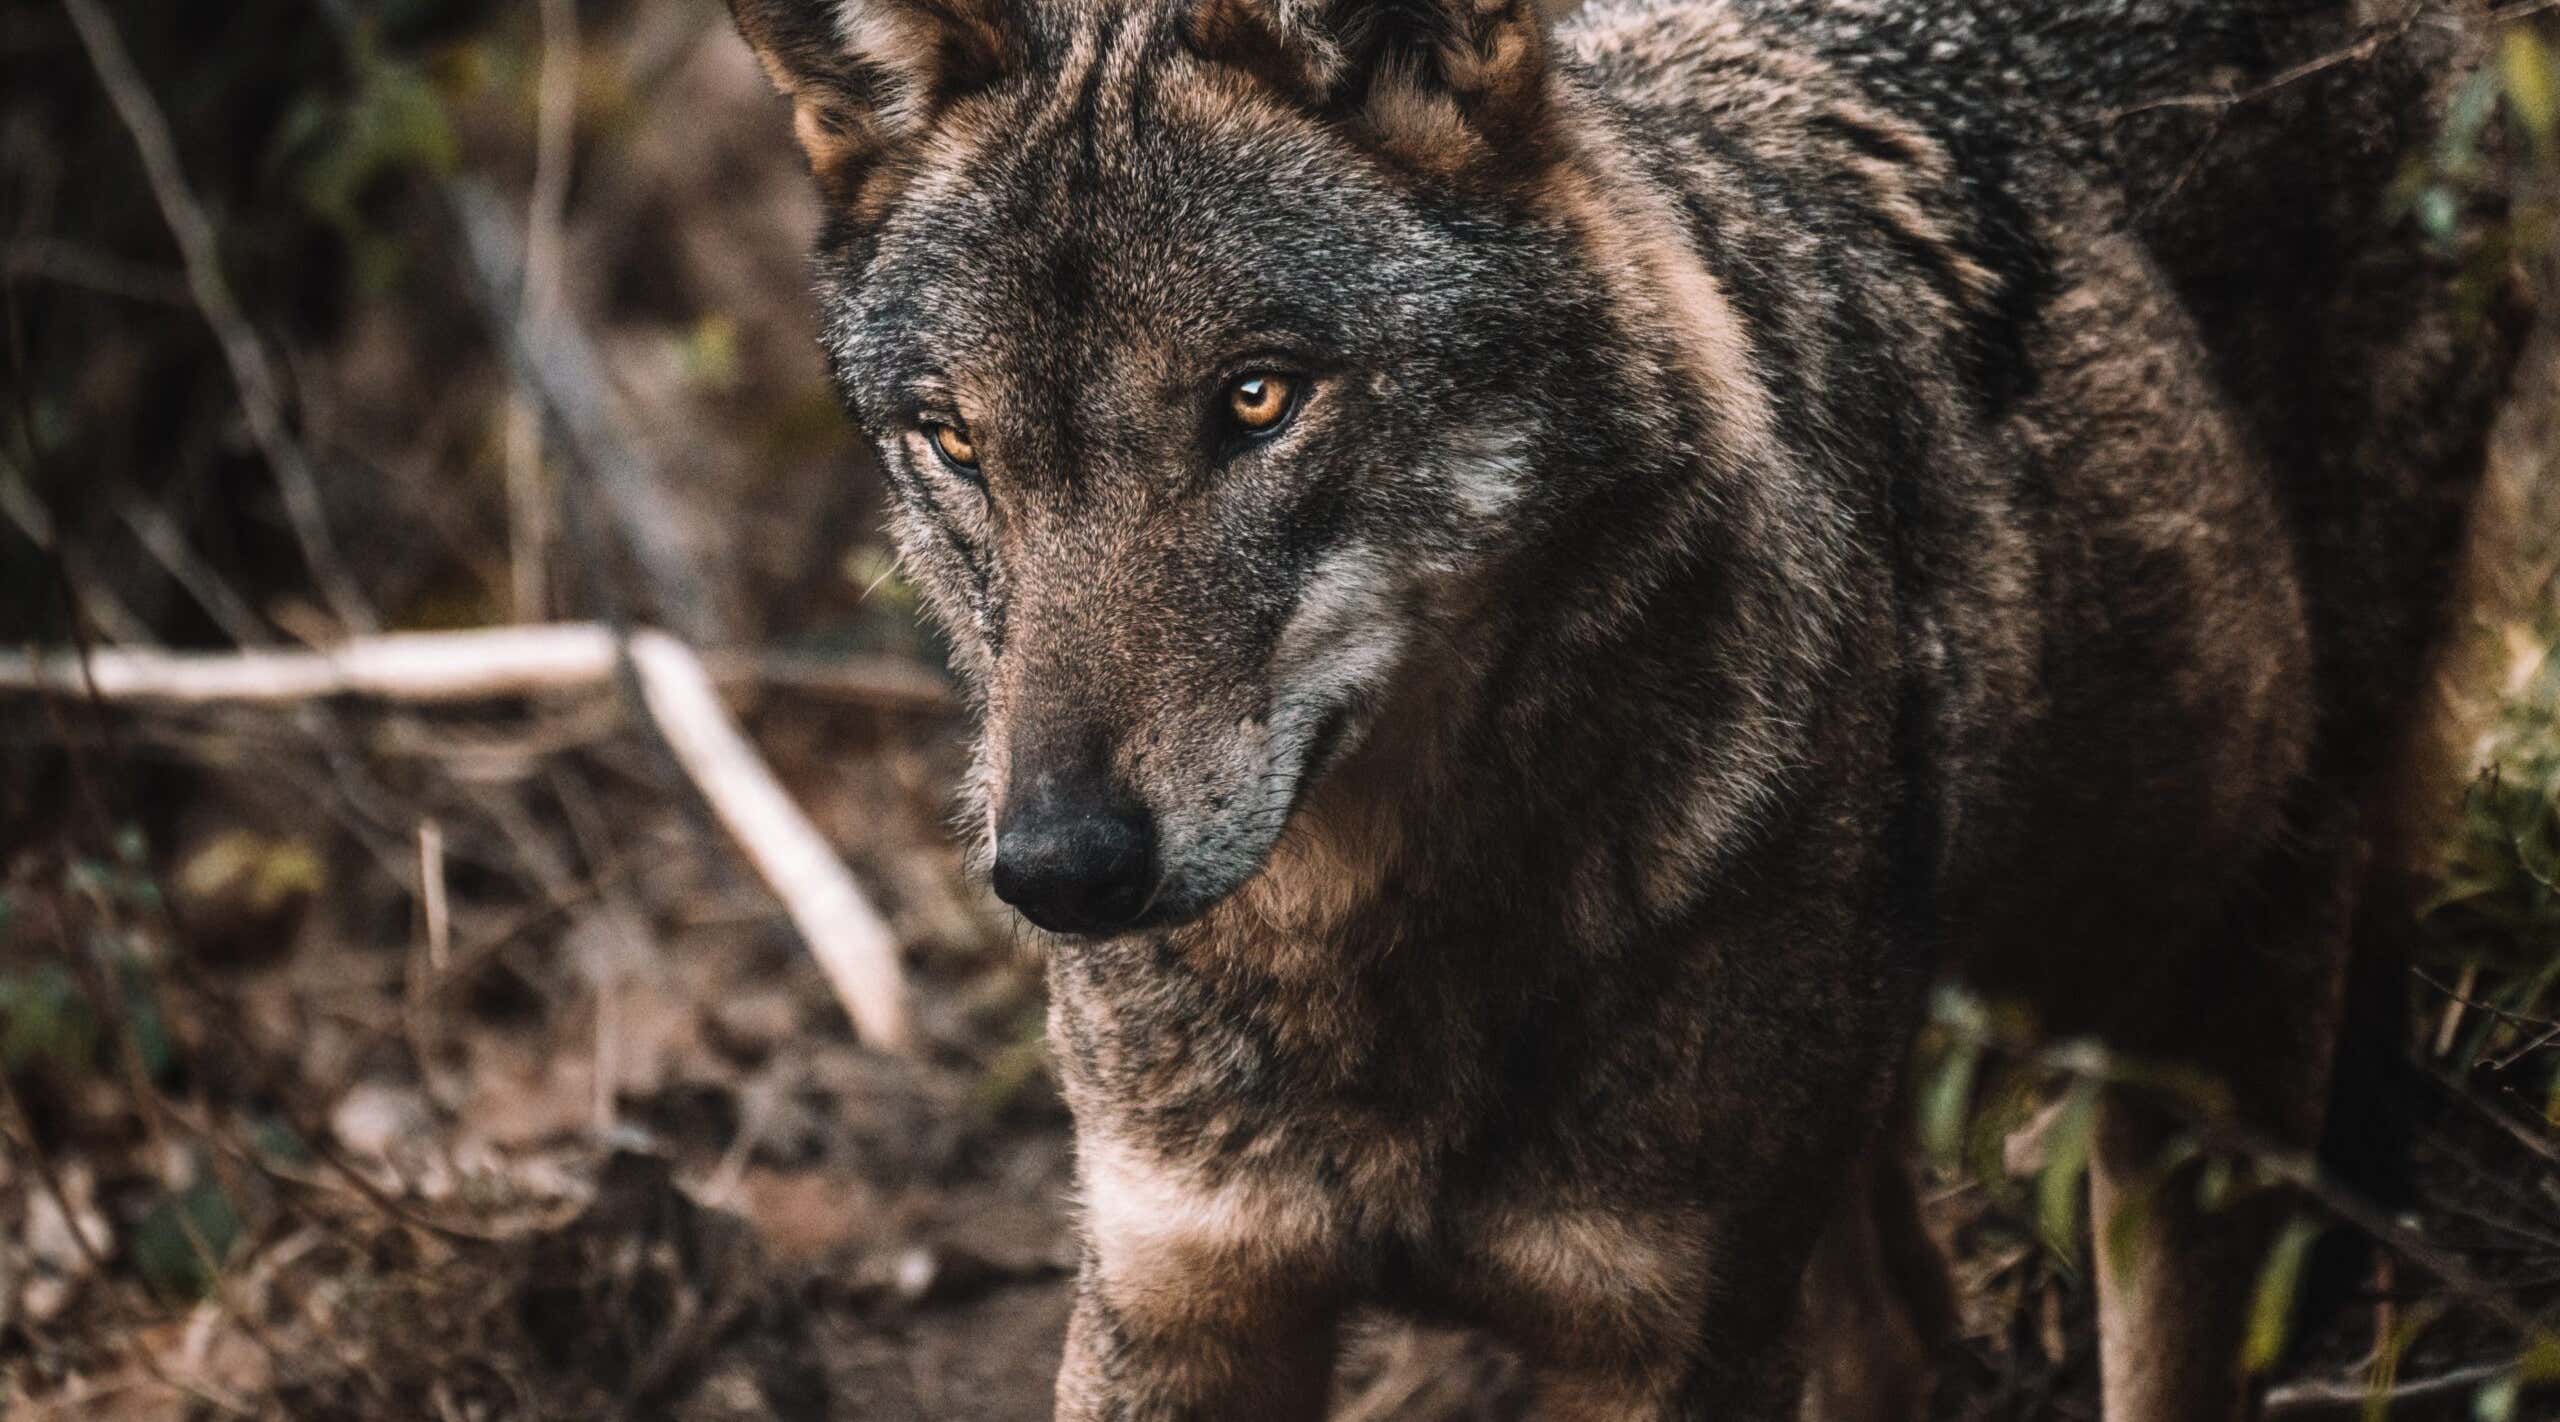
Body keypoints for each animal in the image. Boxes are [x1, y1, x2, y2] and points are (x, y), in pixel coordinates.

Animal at [726, 0, 2526, 1415]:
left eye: (1258, 397)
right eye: (957, 443)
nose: (1061, 871)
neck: (1377, 960)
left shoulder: (1668, 1334)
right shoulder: (1181, 1301)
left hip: (2209, 994)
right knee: (1904, 1329)